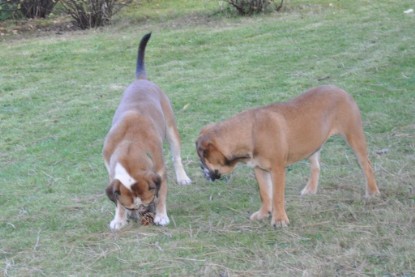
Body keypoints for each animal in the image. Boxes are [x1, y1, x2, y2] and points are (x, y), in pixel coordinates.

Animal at [103, 33, 191, 230]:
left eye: (149, 200)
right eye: (130, 206)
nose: (140, 213)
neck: (129, 146)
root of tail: (141, 80)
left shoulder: (159, 172)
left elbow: (163, 193)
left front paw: (161, 215)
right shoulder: (111, 173)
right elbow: (117, 201)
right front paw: (119, 218)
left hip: (171, 130)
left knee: (177, 157)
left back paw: (182, 177)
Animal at [197, 84, 382, 226]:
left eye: (203, 157)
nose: (201, 168)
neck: (249, 133)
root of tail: (340, 90)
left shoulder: (278, 170)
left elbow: (277, 196)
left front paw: (279, 219)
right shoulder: (259, 170)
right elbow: (265, 193)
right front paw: (264, 213)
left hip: (354, 137)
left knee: (367, 165)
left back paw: (373, 192)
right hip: (312, 144)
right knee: (316, 166)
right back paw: (310, 189)